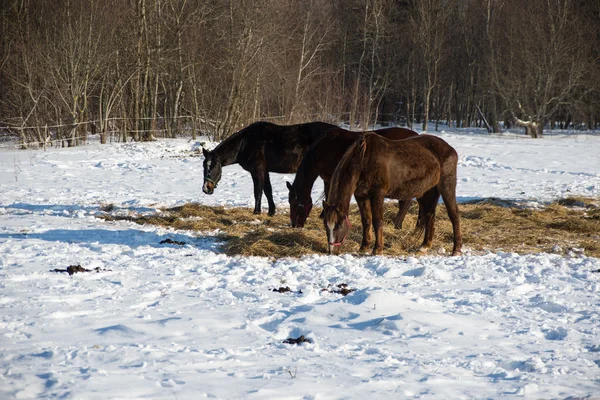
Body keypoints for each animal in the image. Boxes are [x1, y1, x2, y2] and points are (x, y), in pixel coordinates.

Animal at [204, 120, 338, 216]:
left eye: (214, 166)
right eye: (204, 166)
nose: (206, 189)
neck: (245, 143)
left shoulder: (257, 171)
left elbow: (257, 191)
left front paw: (256, 212)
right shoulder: (265, 171)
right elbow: (268, 191)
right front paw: (271, 212)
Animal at [286, 128, 418, 228]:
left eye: (294, 202)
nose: (294, 224)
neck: (321, 148)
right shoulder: (327, 178)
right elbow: (327, 194)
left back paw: (397, 223)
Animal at [322, 133, 462, 255]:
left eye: (339, 225)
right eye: (325, 226)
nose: (332, 251)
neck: (364, 161)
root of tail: (450, 149)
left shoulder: (378, 194)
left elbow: (377, 221)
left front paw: (377, 249)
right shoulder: (361, 196)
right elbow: (366, 220)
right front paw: (364, 247)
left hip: (446, 186)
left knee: (454, 215)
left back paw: (456, 250)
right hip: (426, 192)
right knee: (430, 216)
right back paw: (424, 247)